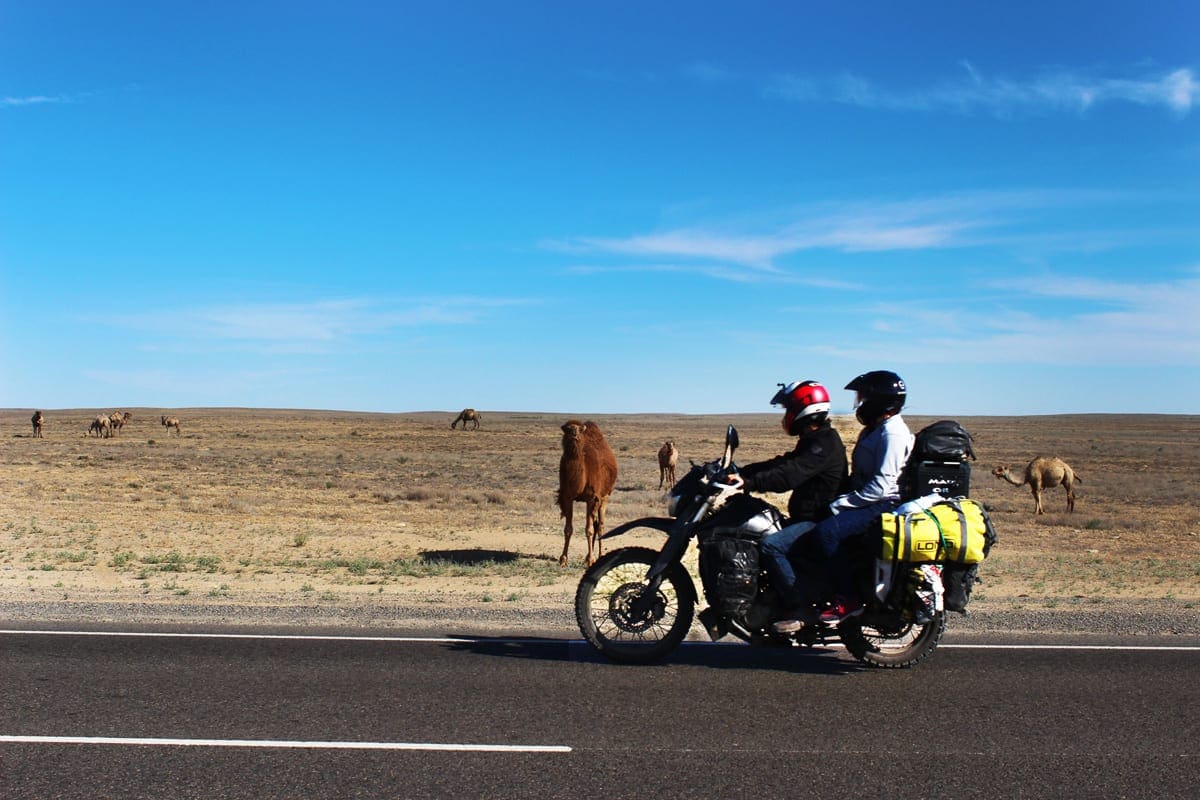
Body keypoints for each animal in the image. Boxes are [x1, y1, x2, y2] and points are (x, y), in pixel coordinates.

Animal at [556, 419, 619, 568]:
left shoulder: (592, 498)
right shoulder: (567, 497)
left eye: (579, 429)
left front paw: (591, 560)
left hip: (605, 497)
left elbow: (588, 530)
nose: (574, 434)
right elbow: (568, 529)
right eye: (567, 429)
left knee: (600, 526)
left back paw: (599, 555)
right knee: (596, 525)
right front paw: (563, 559)